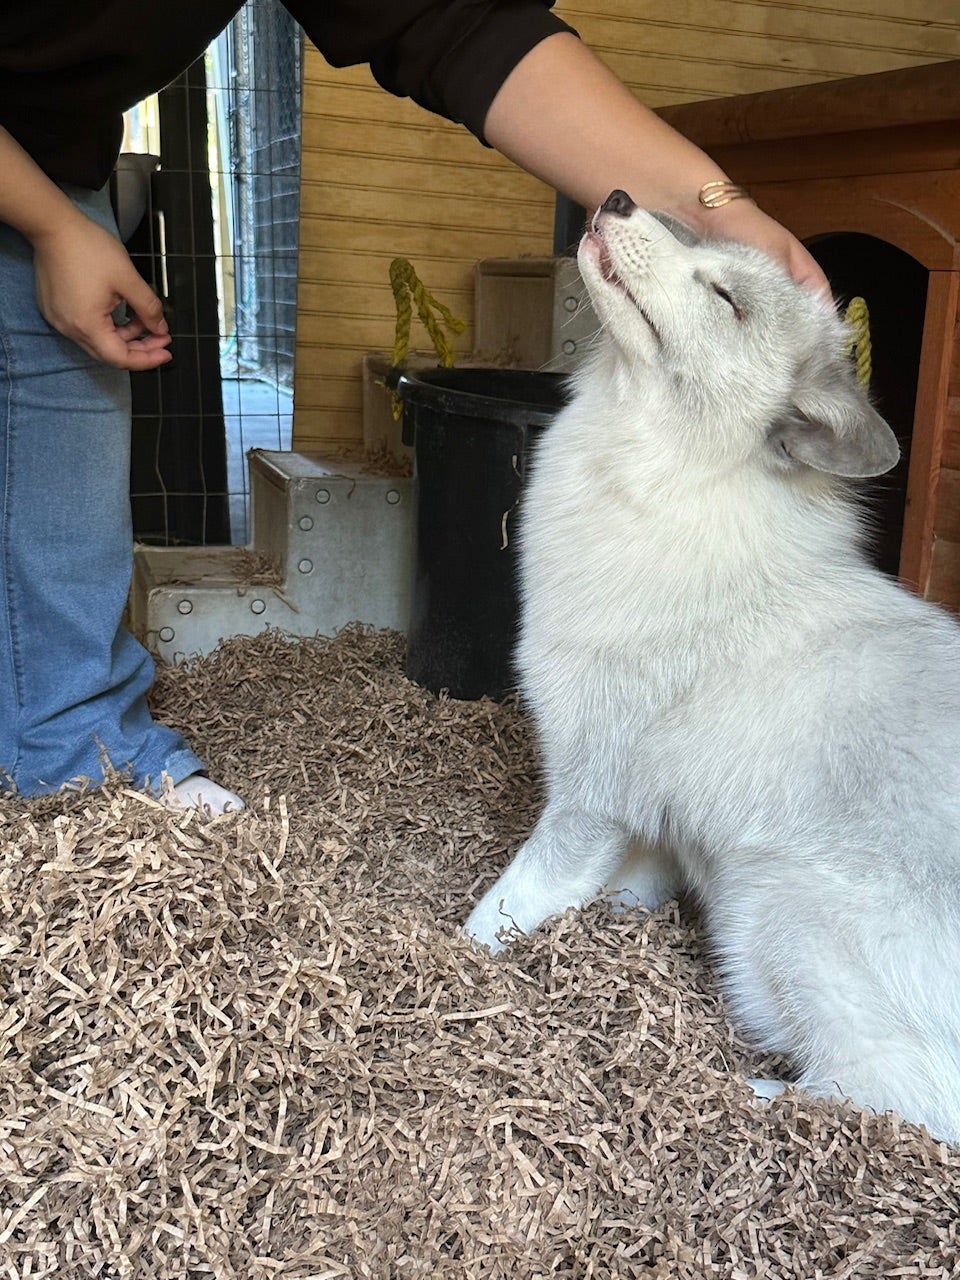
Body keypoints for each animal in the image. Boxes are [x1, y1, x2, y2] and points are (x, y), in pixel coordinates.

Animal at [463, 186, 960, 1141]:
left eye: (726, 299)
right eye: (693, 234)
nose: (621, 197)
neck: (672, 490)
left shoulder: (589, 793)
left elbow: (505, 904)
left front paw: (452, 954)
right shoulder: (648, 827)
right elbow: (612, 893)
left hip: (770, 913)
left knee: (905, 1099)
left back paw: (745, 1096)